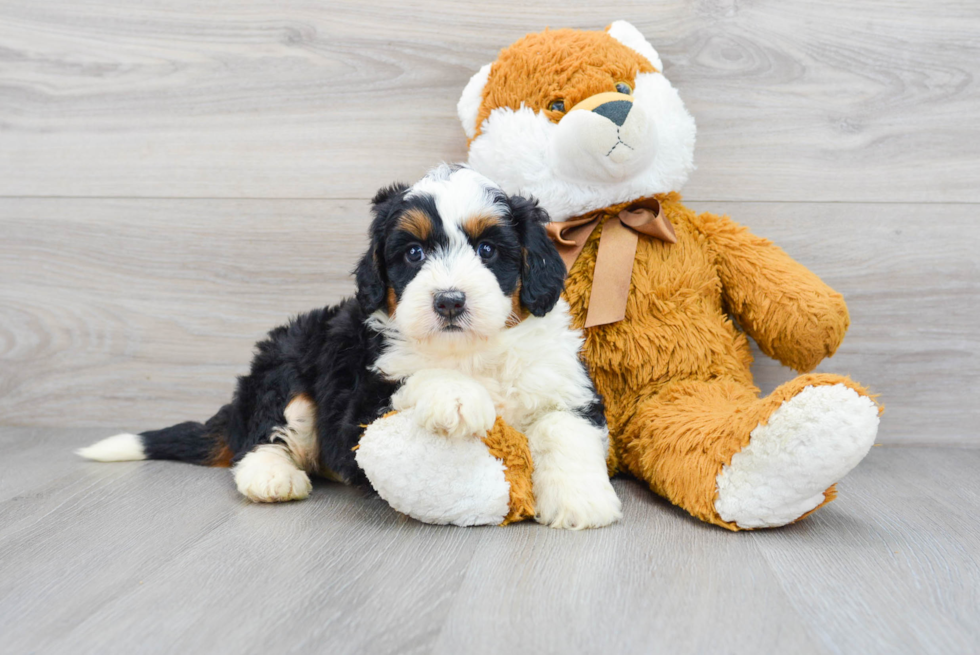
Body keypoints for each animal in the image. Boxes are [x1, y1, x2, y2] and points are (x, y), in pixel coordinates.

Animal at [80, 167, 624, 532]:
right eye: (413, 253)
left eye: (488, 250)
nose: (449, 301)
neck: (471, 351)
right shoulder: (362, 397)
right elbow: (413, 377)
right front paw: (457, 396)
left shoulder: (561, 380)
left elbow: (565, 427)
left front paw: (580, 500)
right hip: (289, 366)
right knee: (263, 433)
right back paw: (271, 478)